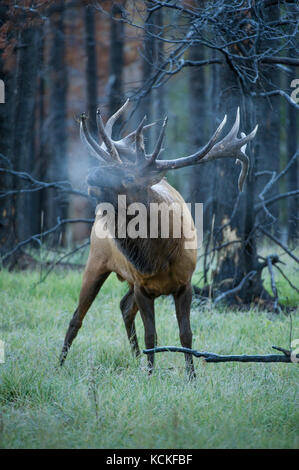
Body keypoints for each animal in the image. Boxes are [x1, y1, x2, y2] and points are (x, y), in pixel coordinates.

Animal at [60, 102, 258, 378]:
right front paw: (150, 375)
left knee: (123, 307)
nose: (92, 175)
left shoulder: (185, 284)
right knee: (77, 317)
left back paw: (134, 358)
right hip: (96, 261)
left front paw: (191, 376)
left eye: (129, 177)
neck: (160, 256)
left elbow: (186, 334)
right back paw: (59, 365)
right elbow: (151, 336)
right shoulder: (143, 287)